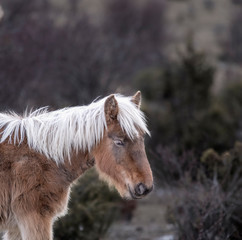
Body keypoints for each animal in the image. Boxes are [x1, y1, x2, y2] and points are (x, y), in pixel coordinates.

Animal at [0, 91, 153, 240]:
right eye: (119, 142)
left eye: (142, 138)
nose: (145, 187)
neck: (43, 158)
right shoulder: (34, 219)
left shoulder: (16, 227)